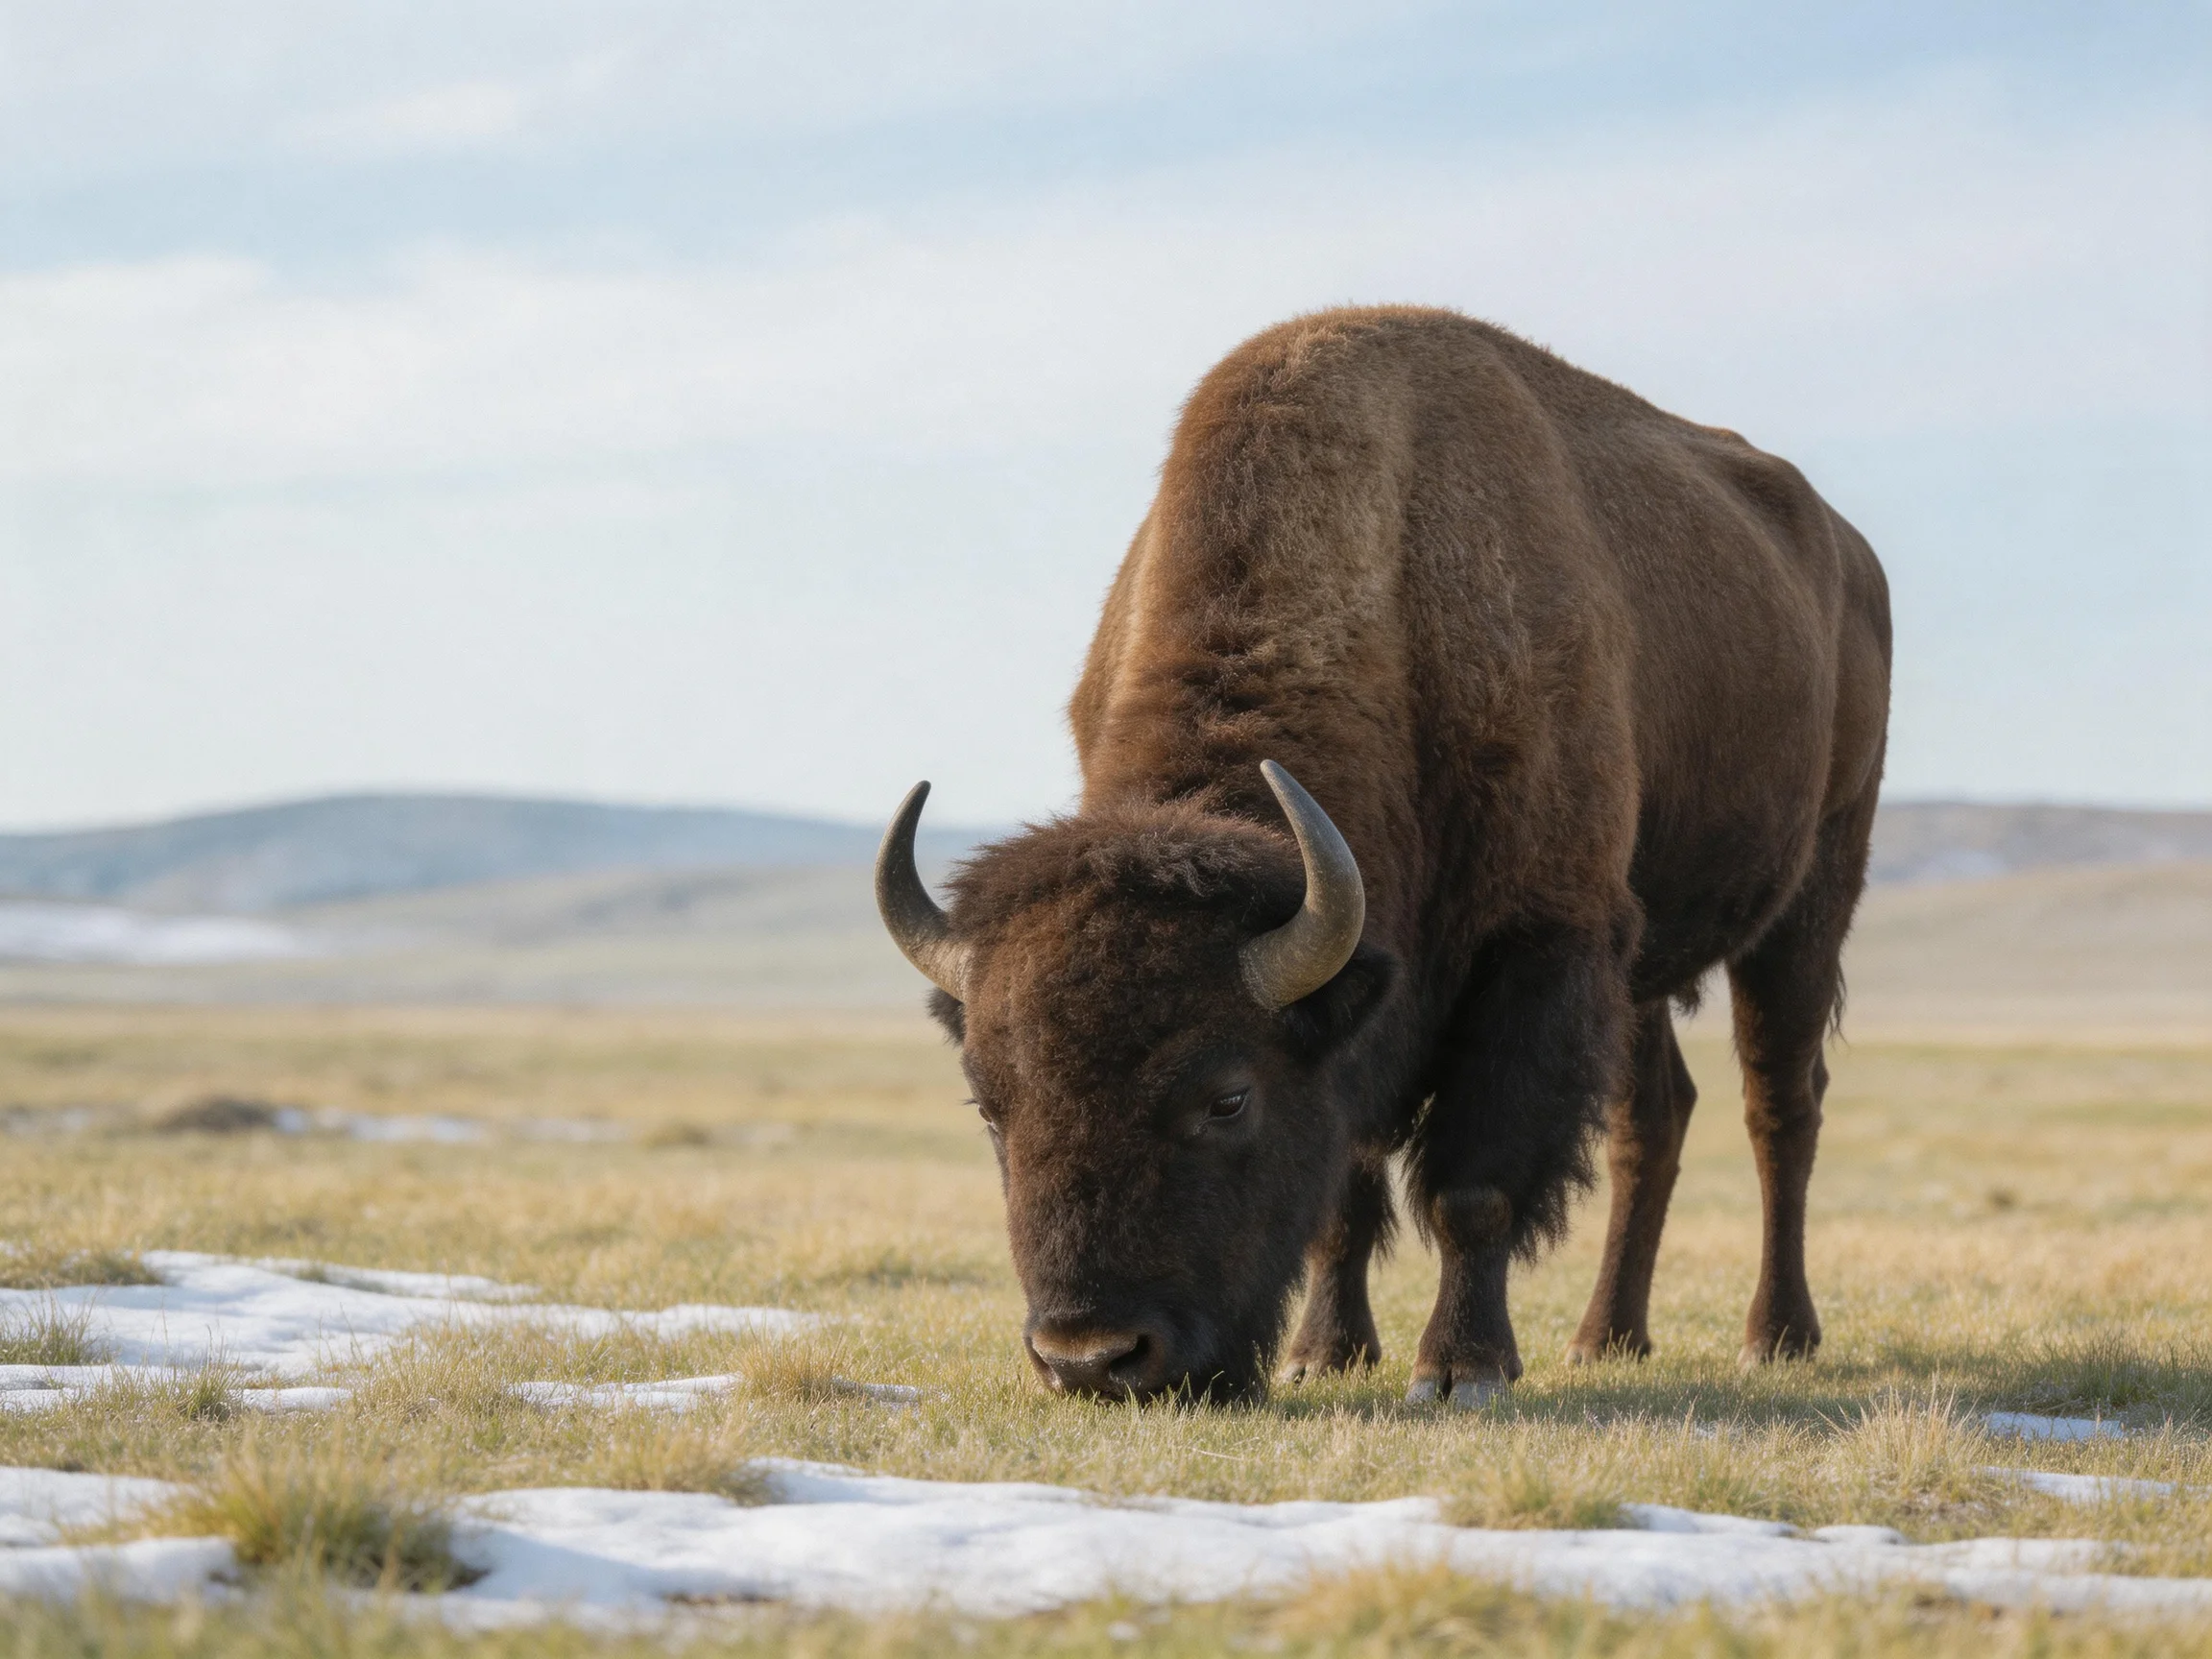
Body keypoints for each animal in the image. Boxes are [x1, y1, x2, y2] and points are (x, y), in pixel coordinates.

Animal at [878, 306, 1891, 1405]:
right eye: (989, 1102)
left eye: (1227, 1097)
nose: (1094, 1358)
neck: (1386, 578)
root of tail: (1849, 549)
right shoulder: (1378, 998)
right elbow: (1344, 1198)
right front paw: (1324, 1354)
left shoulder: (1540, 946)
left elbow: (1473, 1188)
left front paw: (1461, 1369)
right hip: (1644, 966)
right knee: (1652, 1119)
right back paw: (1606, 1338)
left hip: (1811, 898)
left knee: (1779, 1104)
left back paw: (1775, 1335)